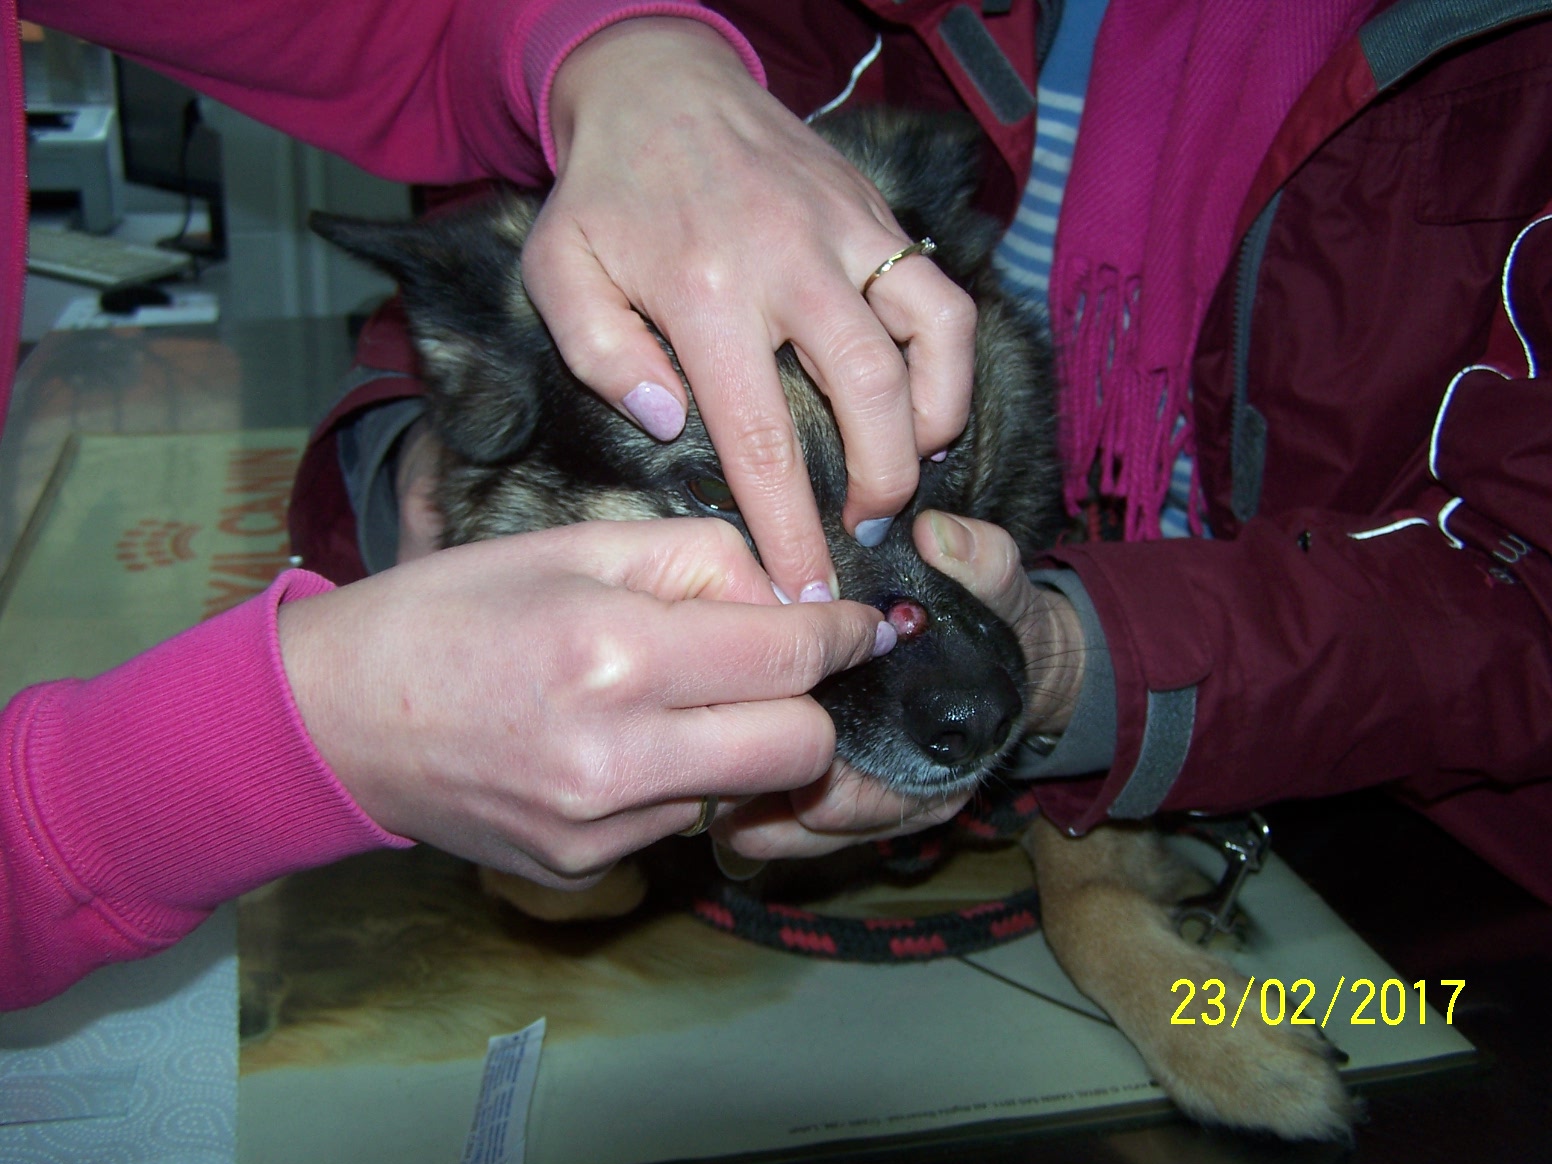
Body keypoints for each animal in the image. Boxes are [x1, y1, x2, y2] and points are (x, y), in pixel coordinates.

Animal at [311, 107, 1354, 1141]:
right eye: (713, 491)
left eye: (938, 448)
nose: (980, 721)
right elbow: (574, 887)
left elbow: (1083, 876)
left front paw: (1219, 1037)